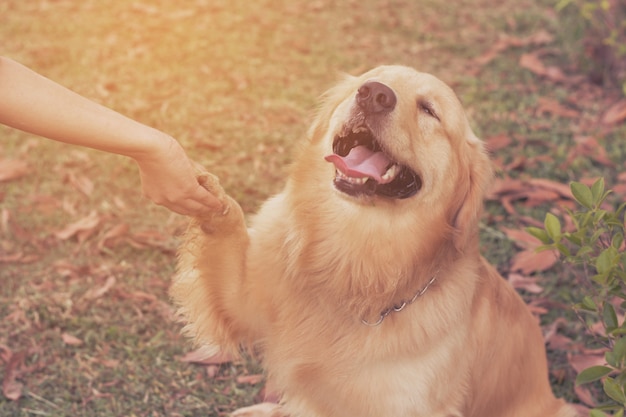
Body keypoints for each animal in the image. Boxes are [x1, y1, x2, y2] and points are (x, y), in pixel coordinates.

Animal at [171, 66, 576, 416]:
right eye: (368, 81)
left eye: (429, 110)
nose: (375, 95)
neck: (352, 256)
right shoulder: (244, 298)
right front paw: (203, 192)